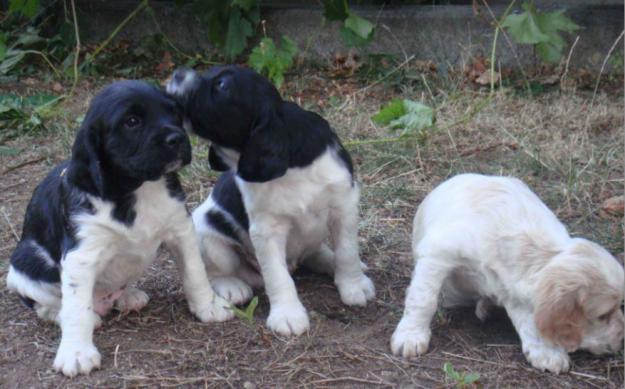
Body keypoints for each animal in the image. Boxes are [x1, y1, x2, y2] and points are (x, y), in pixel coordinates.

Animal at [5, 81, 234, 376]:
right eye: (132, 121)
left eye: (174, 113)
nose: (177, 138)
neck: (138, 188)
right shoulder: (81, 255)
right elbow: (76, 307)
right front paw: (76, 352)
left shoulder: (181, 229)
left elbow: (195, 274)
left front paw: (208, 306)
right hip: (25, 265)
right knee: (49, 305)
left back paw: (128, 296)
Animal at [163, 65, 376, 334]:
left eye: (221, 84)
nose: (178, 73)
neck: (291, 164)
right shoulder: (266, 230)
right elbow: (277, 275)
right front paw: (287, 314)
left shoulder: (343, 205)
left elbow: (347, 251)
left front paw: (353, 285)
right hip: (209, 238)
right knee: (215, 269)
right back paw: (232, 286)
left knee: (318, 252)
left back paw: (332, 262)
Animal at [390, 174, 624, 372]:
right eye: (603, 315)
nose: (621, 340)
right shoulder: (438, 254)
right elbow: (423, 300)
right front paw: (410, 336)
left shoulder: (511, 290)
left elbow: (531, 322)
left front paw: (547, 352)